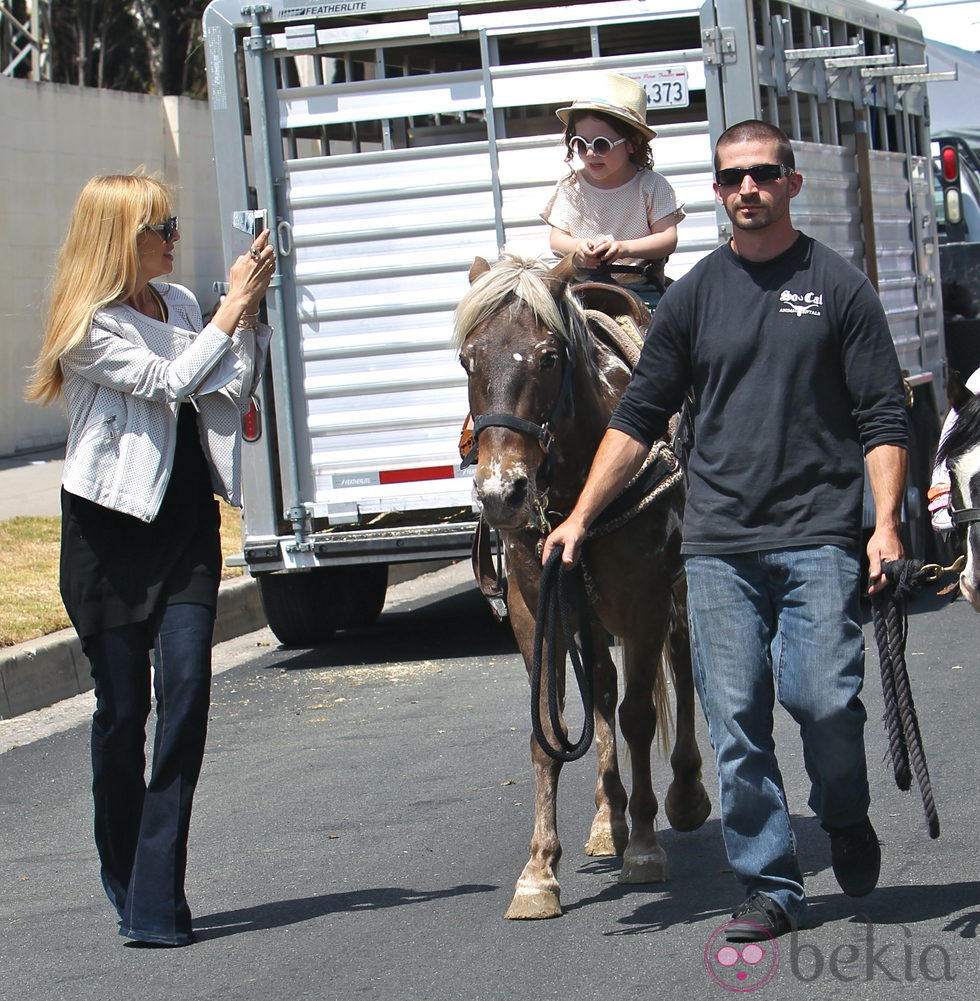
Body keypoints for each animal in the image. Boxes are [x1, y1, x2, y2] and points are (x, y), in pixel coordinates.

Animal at [452, 254, 712, 916]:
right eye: (468, 359)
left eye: (548, 357)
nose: (501, 492)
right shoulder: (531, 605)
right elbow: (550, 733)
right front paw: (540, 870)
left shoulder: (646, 597)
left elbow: (638, 714)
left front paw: (645, 846)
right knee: (599, 684)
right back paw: (605, 819)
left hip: (673, 592)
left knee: (680, 665)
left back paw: (684, 794)